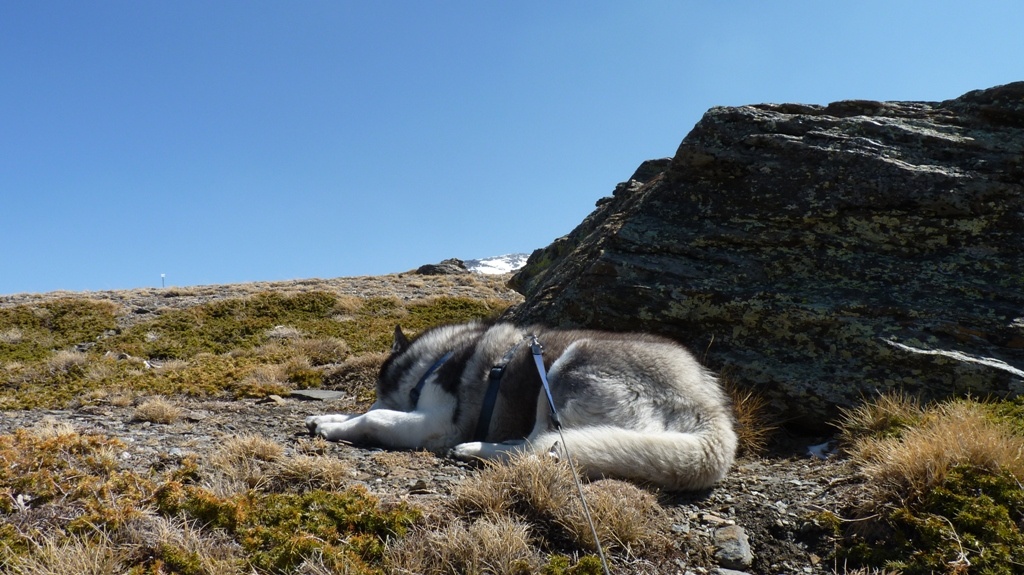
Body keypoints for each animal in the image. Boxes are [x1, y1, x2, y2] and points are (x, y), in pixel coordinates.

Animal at [303, 323, 737, 487]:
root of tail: (710, 407)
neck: (433, 362)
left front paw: (333, 427)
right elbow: (361, 412)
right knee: (538, 445)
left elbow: (374, 417)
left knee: (539, 448)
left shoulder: (435, 424)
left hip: (564, 367)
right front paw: (327, 415)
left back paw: (476, 450)